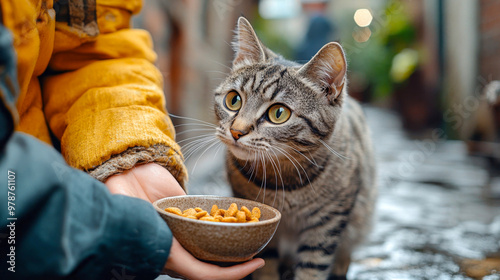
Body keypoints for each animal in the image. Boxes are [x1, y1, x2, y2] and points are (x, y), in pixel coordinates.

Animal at [213, 17, 376, 278]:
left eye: (279, 113)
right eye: (233, 100)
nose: (237, 131)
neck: (283, 182)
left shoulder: (328, 222)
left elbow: (312, 266)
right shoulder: (262, 215)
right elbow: (266, 260)